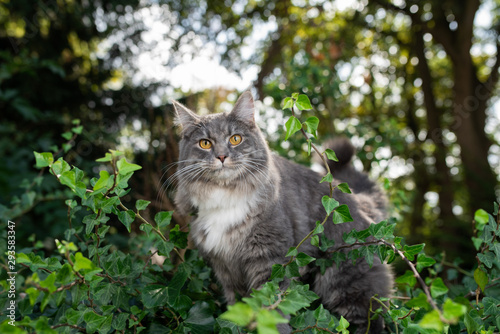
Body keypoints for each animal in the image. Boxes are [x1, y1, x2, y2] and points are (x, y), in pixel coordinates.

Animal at [172, 91, 394, 334]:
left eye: (235, 139)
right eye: (205, 143)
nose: (221, 156)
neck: (226, 197)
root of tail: (359, 201)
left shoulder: (271, 260)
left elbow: (270, 308)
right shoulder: (226, 269)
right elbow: (238, 310)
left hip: (346, 283)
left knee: (371, 320)